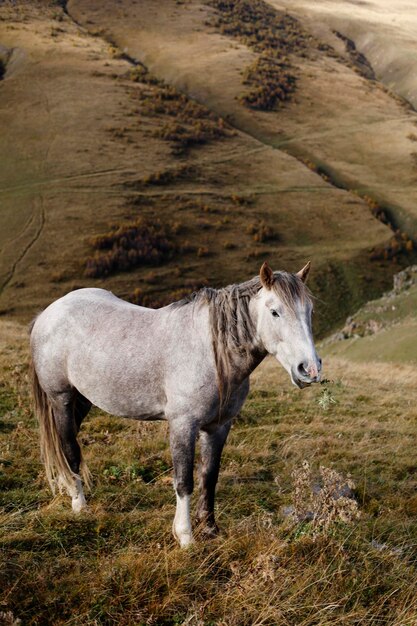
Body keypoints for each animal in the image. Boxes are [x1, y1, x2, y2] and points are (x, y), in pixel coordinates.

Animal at [30, 260, 322, 544]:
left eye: (309, 310)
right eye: (275, 312)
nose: (309, 369)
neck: (211, 352)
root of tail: (49, 312)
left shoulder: (218, 427)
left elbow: (209, 476)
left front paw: (210, 528)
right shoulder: (183, 425)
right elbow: (184, 481)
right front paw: (185, 536)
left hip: (83, 400)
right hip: (62, 399)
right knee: (69, 448)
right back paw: (79, 504)